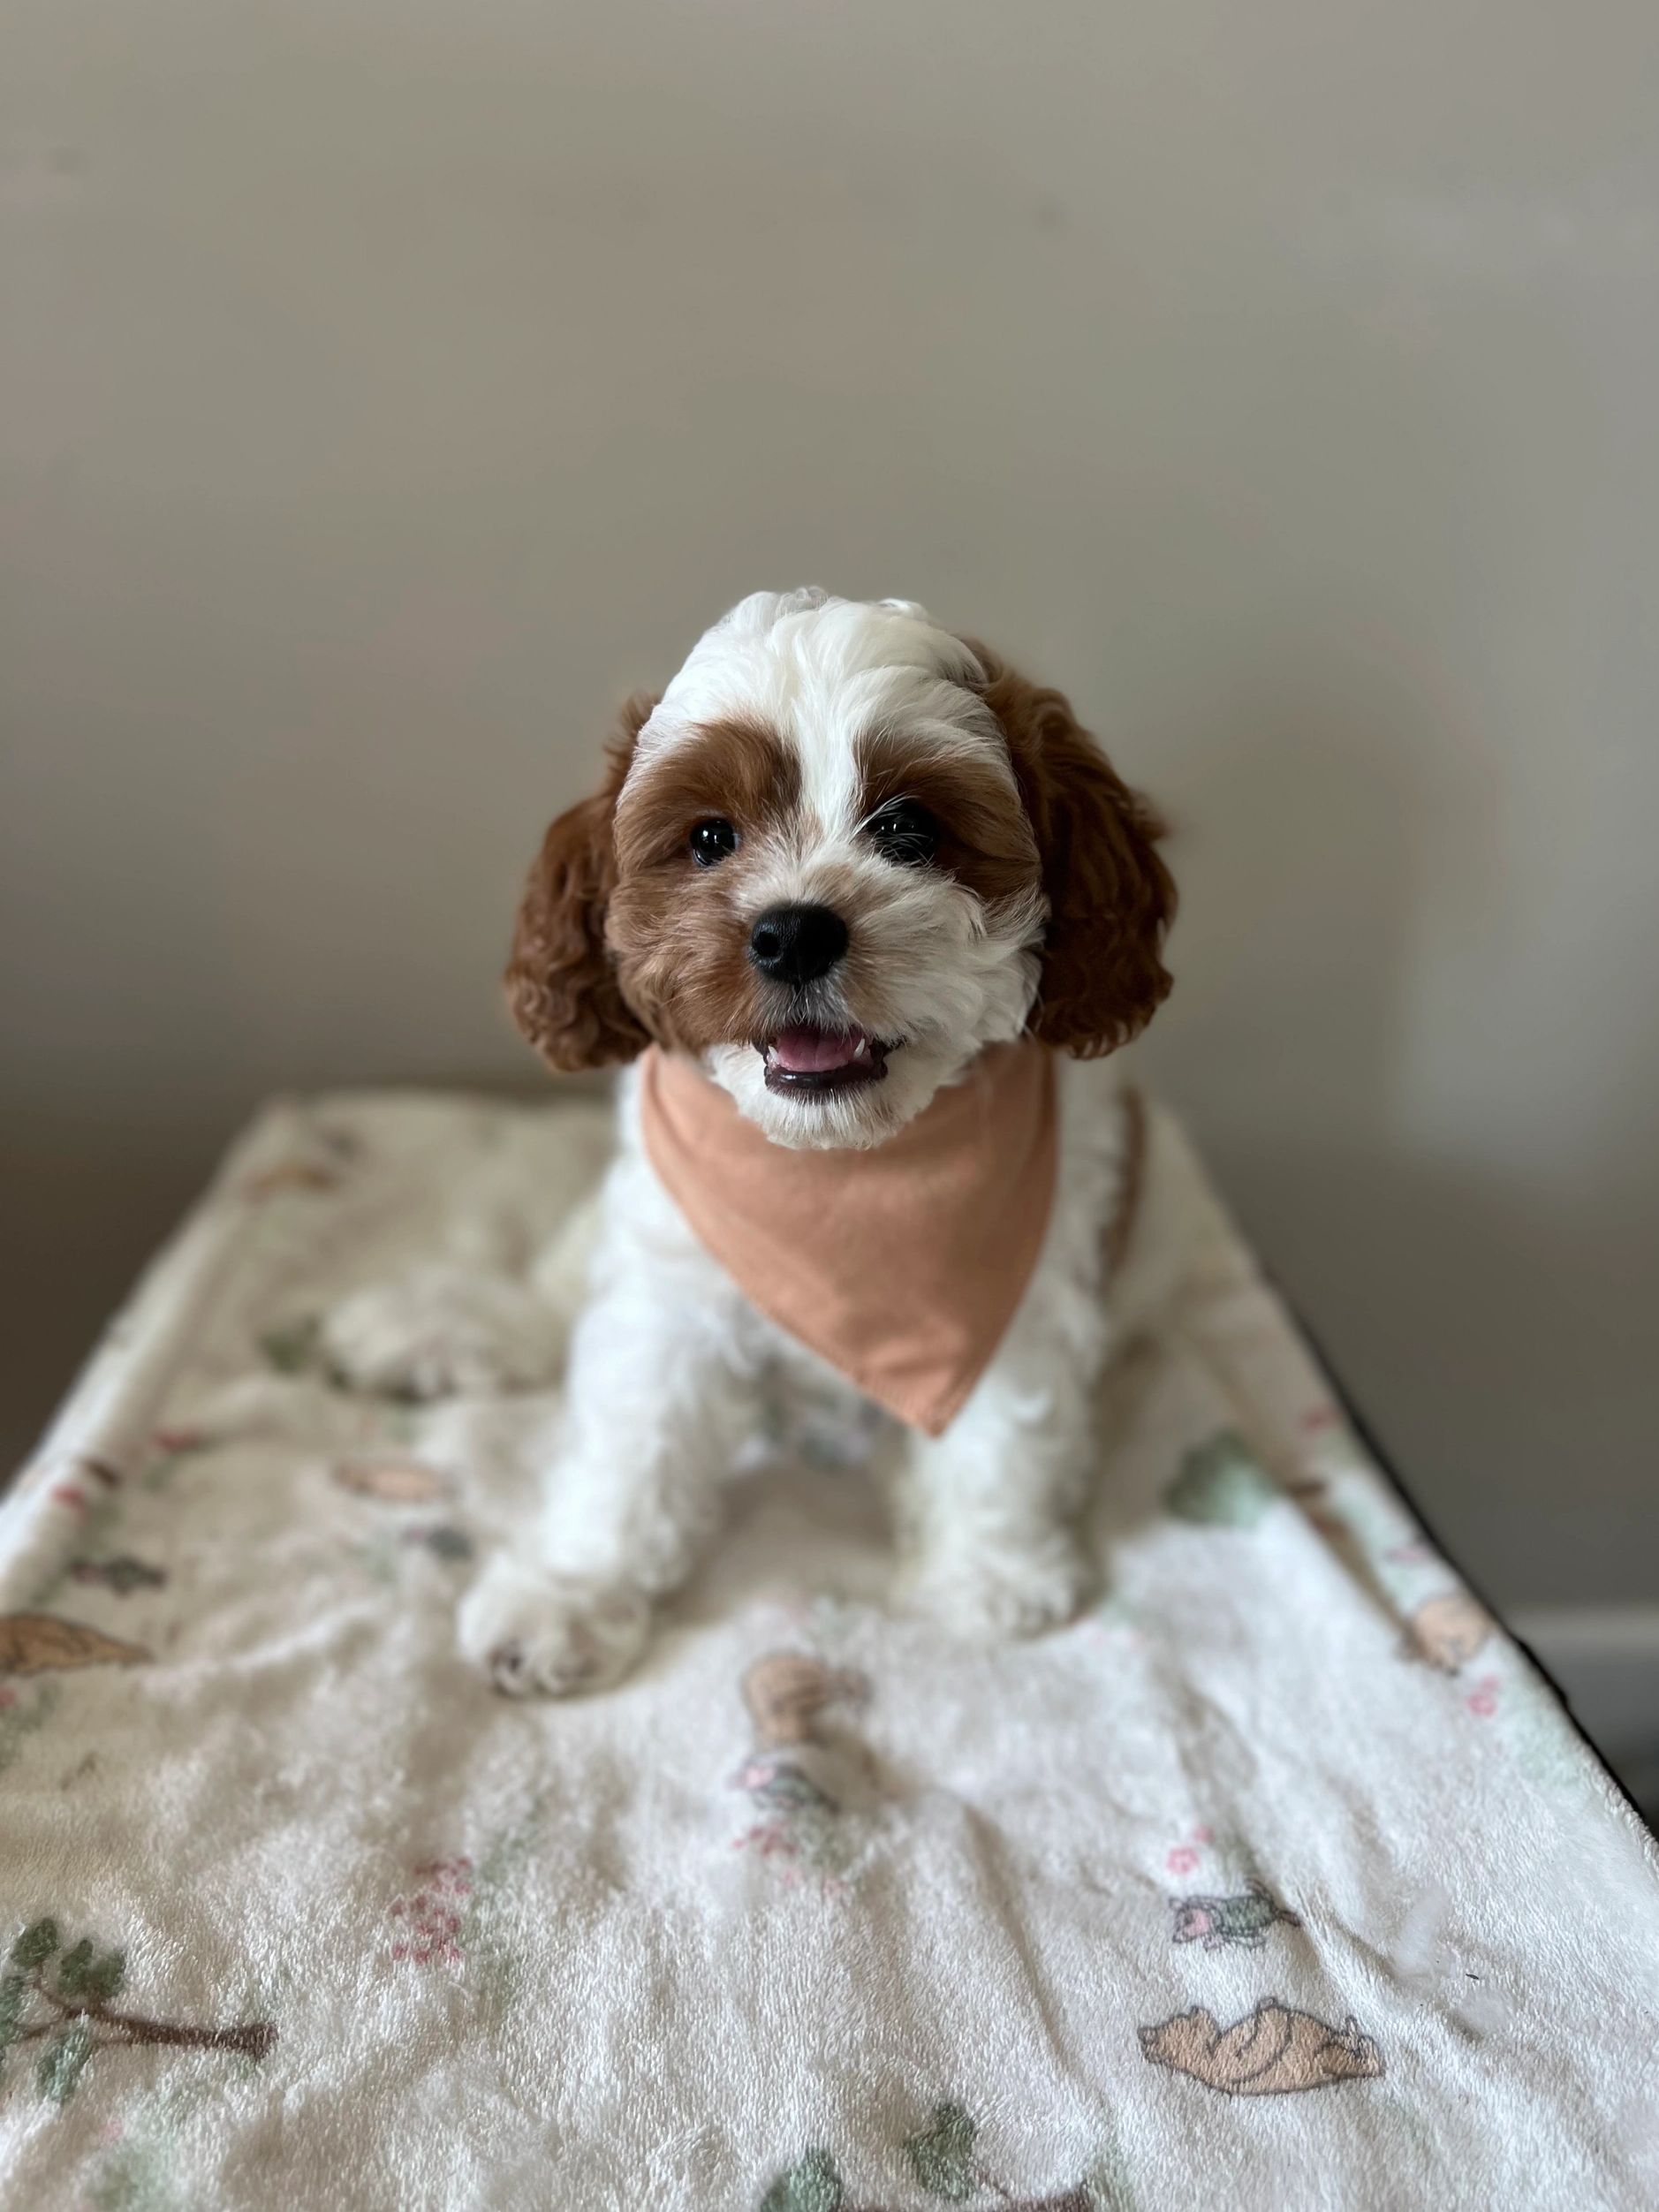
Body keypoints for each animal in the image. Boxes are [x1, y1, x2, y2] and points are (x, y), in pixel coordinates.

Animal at [332, 589, 1180, 1694]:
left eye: (910, 828)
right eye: (708, 837)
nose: (793, 931)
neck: (839, 1168)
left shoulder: (1025, 1282)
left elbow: (1002, 1427)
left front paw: (990, 1569)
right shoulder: (670, 1269)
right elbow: (631, 1437)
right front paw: (573, 1587)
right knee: (558, 1298)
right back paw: (442, 1320)